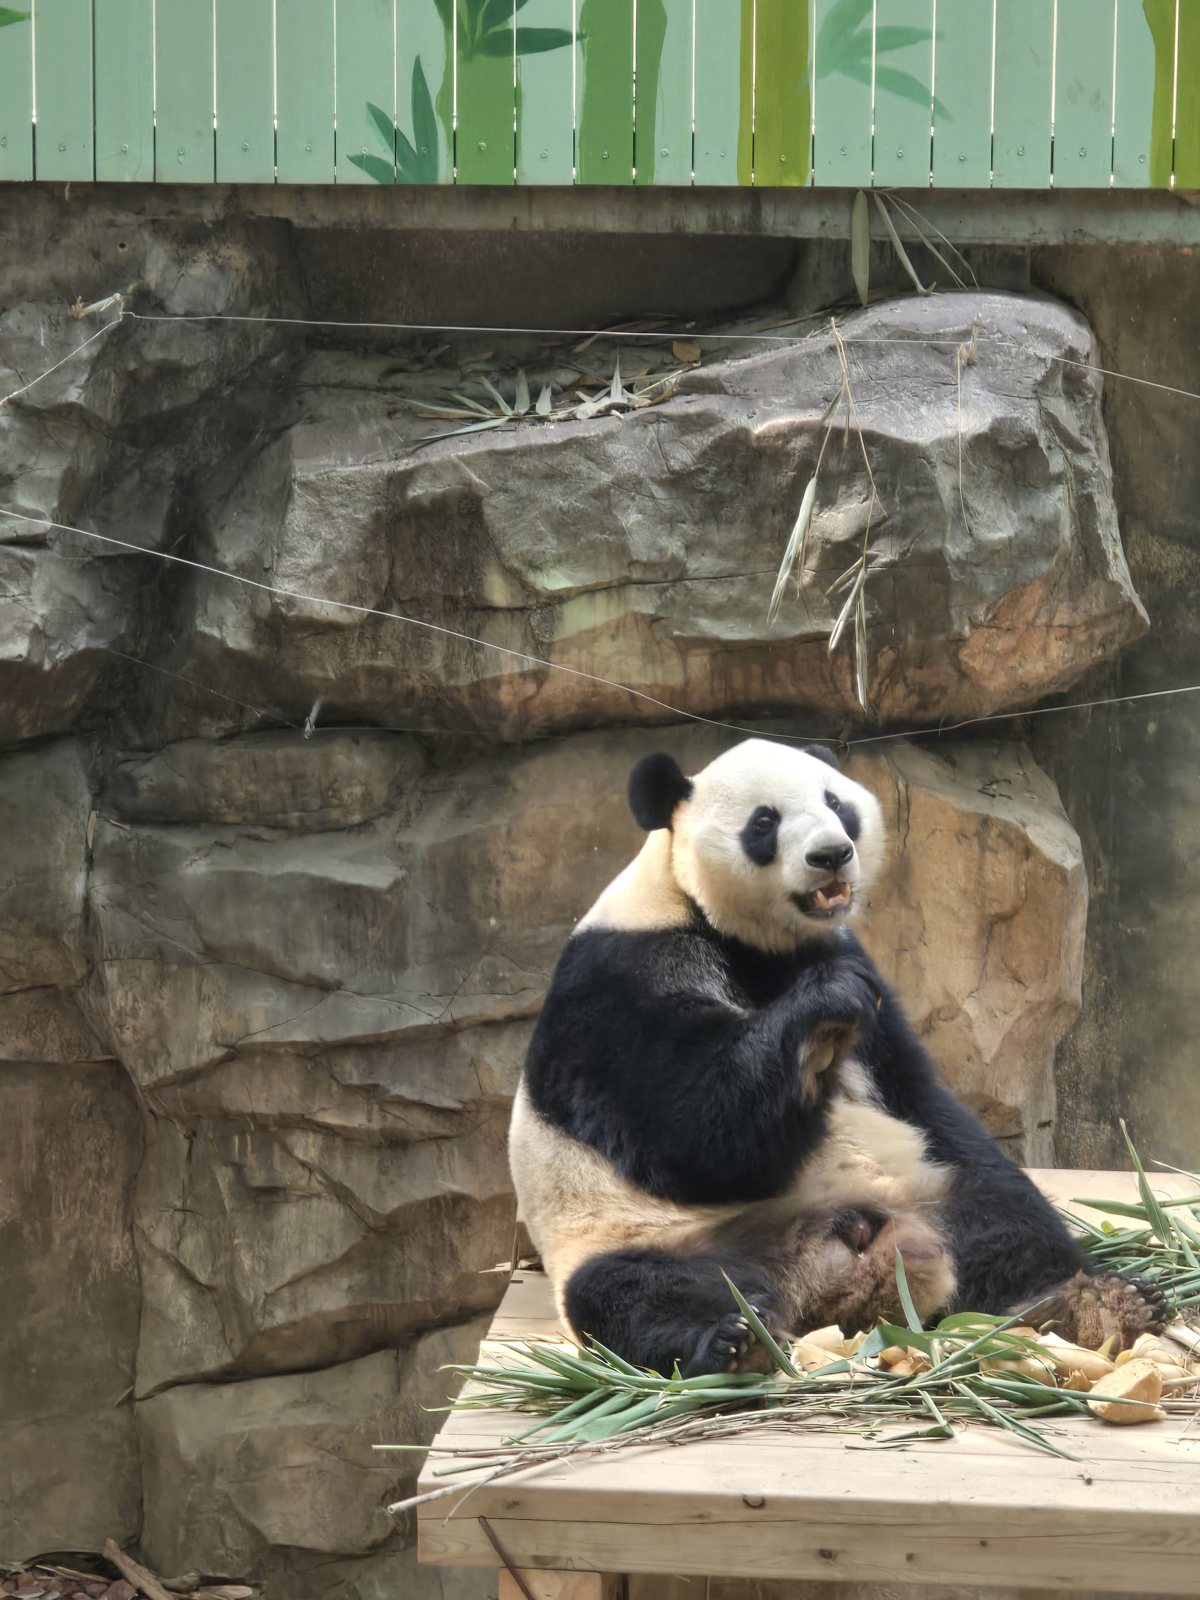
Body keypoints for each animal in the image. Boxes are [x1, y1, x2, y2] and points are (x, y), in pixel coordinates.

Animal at [509, 737, 1165, 1378]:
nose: (832, 854)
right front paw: (823, 1009)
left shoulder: (860, 976)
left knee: (1001, 1214)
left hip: (929, 1190)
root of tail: (821, 1274)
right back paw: (731, 1340)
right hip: (647, 1238)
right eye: (764, 821)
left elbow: (915, 1094)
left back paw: (1089, 1303)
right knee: (631, 1294)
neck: (752, 942)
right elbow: (693, 1133)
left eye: (835, 803)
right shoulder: (619, 981)